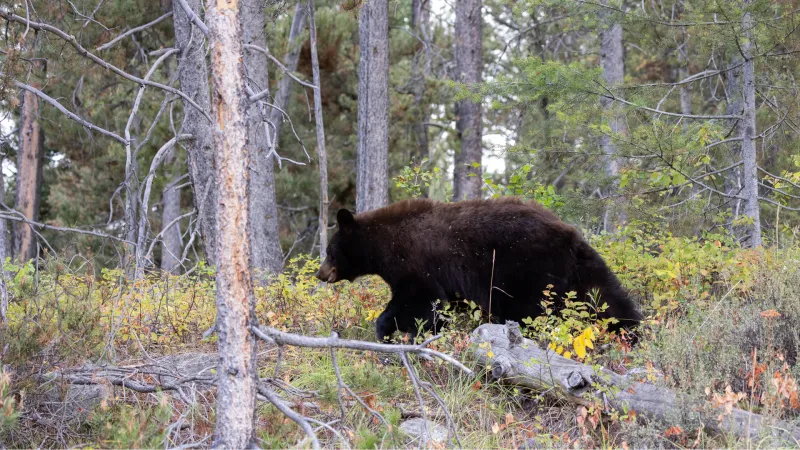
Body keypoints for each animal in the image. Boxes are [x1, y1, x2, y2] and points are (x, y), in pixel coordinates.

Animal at [316, 197, 641, 342]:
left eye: (330, 250)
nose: (320, 273)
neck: (385, 244)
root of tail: (571, 234)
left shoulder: (417, 266)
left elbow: (417, 301)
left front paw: (386, 330)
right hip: (576, 271)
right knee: (606, 294)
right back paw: (631, 327)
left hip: (525, 271)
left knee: (529, 310)